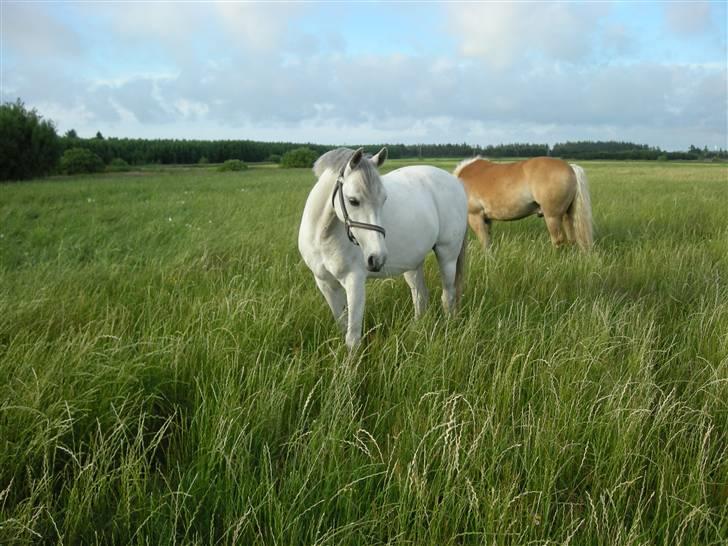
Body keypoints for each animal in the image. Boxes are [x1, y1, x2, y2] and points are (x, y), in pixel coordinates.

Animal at [298, 147, 470, 346]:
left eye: (384, 199)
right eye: (353, 200)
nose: (377, 258)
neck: (323, 236)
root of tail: (456, 182)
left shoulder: (354, 281)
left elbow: (352, 336)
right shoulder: (325, 283)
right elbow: (342, 326)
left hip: (447, 255)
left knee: (448, 296)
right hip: (413, 264)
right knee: (420, 296)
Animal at [452, 157, 596, 251]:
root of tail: (570, 167)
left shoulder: (475, 216)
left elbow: (484, 244)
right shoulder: (486, 220)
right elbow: (488, 241)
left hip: (552, 217)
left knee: (558, 240)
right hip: (568, 215)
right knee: (572, 239)